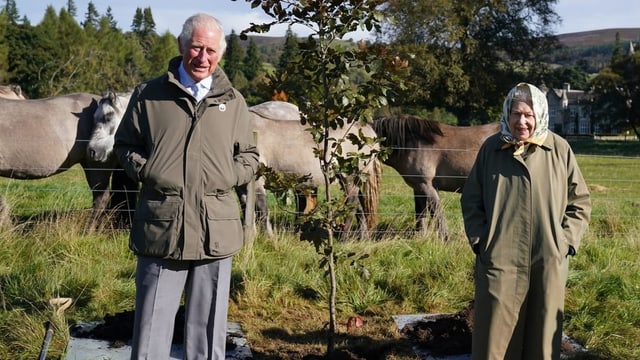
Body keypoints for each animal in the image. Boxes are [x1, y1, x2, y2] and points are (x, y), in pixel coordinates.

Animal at [370, 114, 500, 239]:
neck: (414, 144)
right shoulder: (419, 188)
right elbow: (421, 214)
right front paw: (420, 238)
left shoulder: (426, 186)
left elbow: (436, 213)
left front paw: (445, 238)